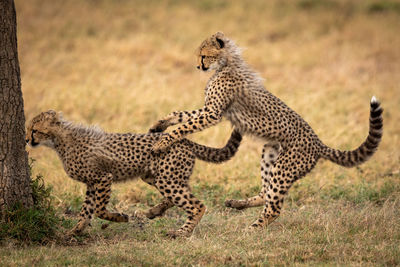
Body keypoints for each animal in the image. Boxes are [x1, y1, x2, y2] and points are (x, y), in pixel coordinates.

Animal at [28, 111, 242, 239]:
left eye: (35, 130)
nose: (27, 140)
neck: (59, 139)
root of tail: (184, 140)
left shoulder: (103, 178)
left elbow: (98, 209)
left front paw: (120, 217)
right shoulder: (91, 183)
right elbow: (86, 211)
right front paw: (74, 231)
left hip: (166, 179)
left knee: (197, 205)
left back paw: (181, 232)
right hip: (156, 176)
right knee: (176, 197)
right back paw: (152, 212)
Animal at [150, 31, 384, 230]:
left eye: (204, 55)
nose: (198, 67)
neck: (226, 64)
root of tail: (319, 143)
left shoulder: (213, 113)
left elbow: (184, 125)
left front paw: (162, 142)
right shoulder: (209, 110)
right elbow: (181, 114)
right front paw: (159, 124)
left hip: (284, 167)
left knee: (274, 207)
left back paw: (253, 228)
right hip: (270, 154)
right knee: (266, 193)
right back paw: (237, 204)